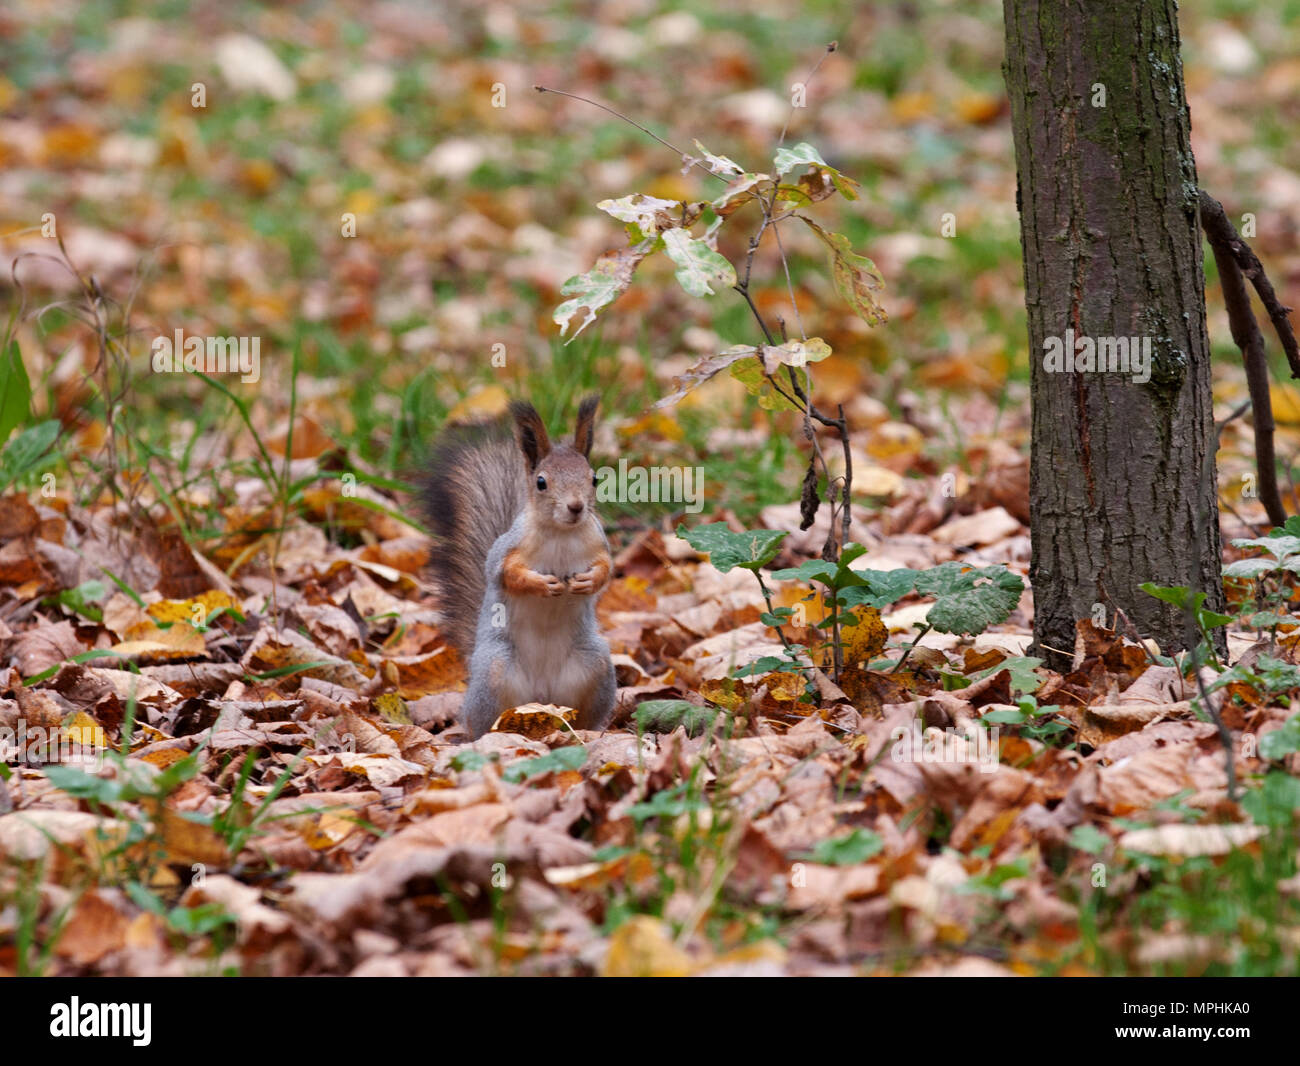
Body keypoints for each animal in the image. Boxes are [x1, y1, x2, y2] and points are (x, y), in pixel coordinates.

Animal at [422, 396, 617, 739]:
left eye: (594, 478)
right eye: (541, 482)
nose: (576, 507)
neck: (561, 534)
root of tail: (541, 698)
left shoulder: (599, 545)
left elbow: (606, 568)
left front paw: (588, 582)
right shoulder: (506, 551)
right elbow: (508, 574)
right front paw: (542, 584)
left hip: (595, 665)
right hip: (494, 670)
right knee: (483, 722)